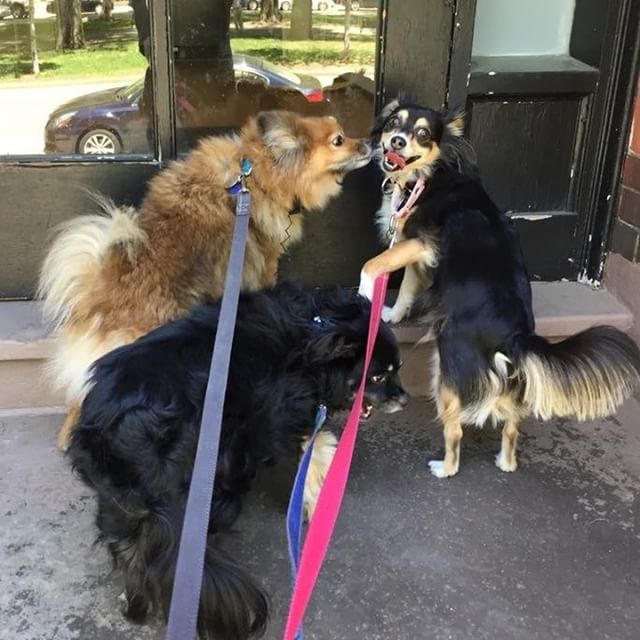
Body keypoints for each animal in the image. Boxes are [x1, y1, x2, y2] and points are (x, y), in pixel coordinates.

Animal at [69, 282, 404, 636]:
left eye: (397, 370)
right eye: (379, 377)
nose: (405, 398)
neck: (314, 330)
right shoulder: (276, 424)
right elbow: (295, 465)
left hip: (120, 503)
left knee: (131, 549)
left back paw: (134, 604)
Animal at [360, 100, 640, 478]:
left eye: (423, 134)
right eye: (393, 123)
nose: (397, 141)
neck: (432, 174)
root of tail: (515, 335)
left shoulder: (419, 243)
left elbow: (375, 266)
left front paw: (366, 295)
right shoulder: (416, 248)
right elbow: (406, 286)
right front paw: (392, 314)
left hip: (447, 369)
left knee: (455, 431)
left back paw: (443, 468)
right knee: (511, 427)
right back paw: (505, 463)